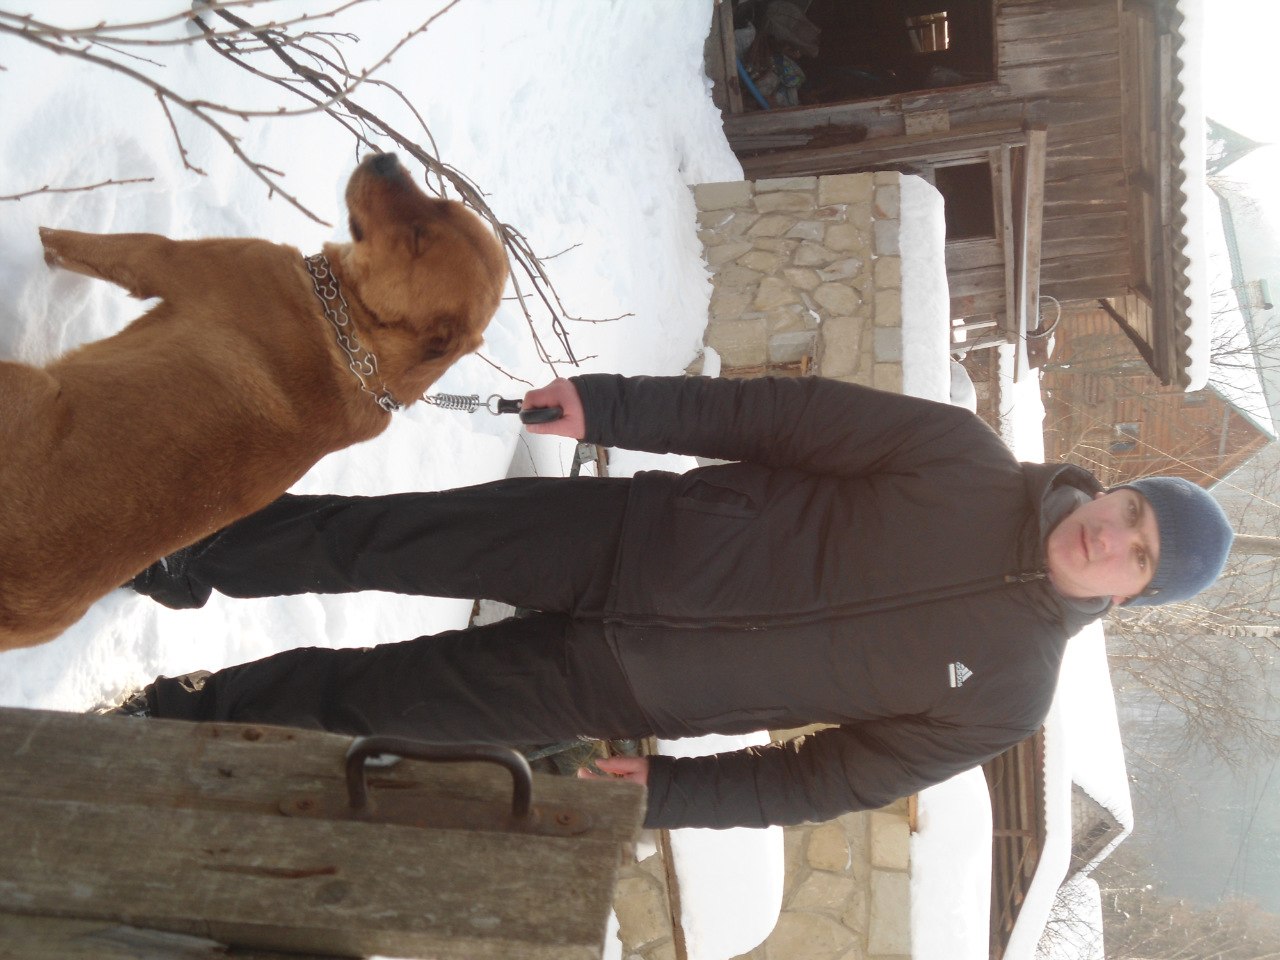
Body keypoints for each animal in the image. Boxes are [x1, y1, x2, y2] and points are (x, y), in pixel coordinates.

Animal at [0, 153, 507, 650]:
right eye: (440, 203)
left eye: (419, 236)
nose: (386, 158)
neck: (350, 339)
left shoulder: (161, 256)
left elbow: (59, 241)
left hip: (25, 382)